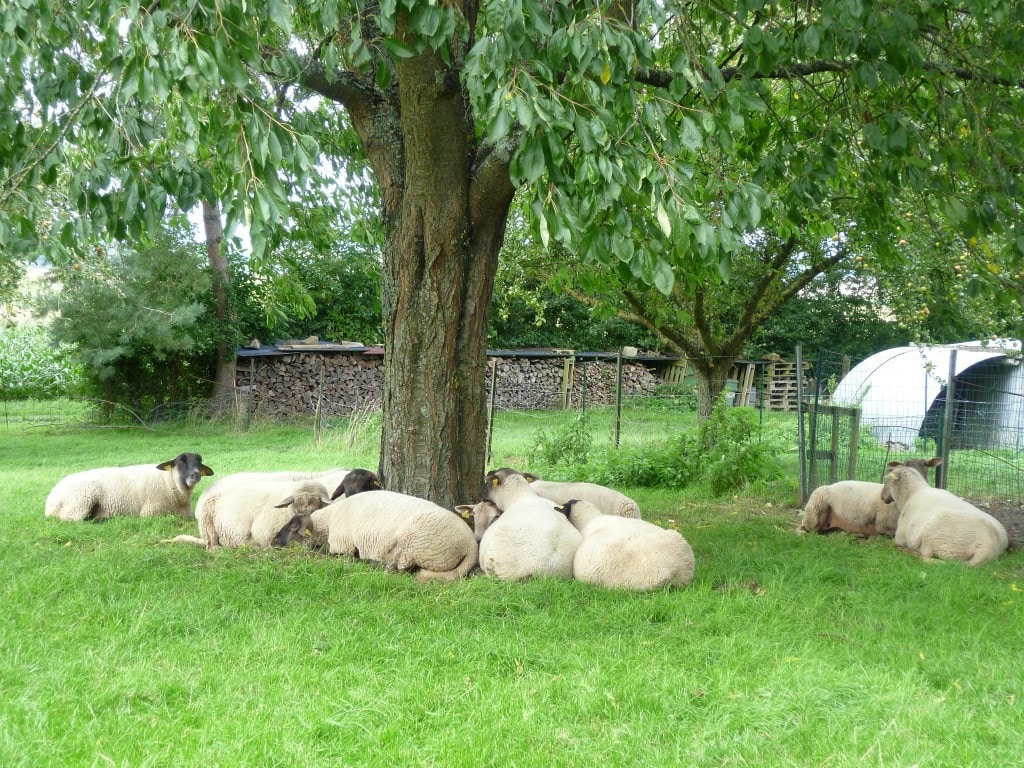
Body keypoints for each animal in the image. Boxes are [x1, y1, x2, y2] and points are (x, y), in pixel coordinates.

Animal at [43, 450, 215, 524]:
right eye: (180, 461)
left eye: (199, 462)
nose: (195, 475)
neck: (169, 482)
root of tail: (50, 499)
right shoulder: (150, 512)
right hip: (79, 502)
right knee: (73, 520)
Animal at [169, 479, 331, 548]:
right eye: (295, 509)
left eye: (316, 509)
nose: (304, 530)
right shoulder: (263, 533)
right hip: (208, 524)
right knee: (212, 547)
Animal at [274, 493, 477, 581]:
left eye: (292, 528)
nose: (273, 542)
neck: (328, 521)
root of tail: (471, 547)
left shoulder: (341, 545)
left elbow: (329, 553)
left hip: (412, 544)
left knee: (398, 569)